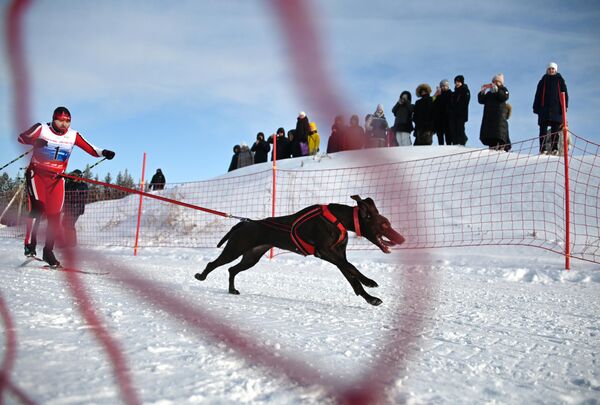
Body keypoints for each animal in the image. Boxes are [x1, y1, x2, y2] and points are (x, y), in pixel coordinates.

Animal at [195, 195, 406, 304]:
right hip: (234, 249)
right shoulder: (326, 253)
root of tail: (243, 223)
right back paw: (201, 276)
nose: (402, 239)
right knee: (213, 263)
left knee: (232, 269)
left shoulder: (338, 257)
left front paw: (370, 298)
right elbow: (353, 268)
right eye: (384, 225)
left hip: (251, 257)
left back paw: (232, 290)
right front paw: (369, 282)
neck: (338, 219)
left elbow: (352, 278)